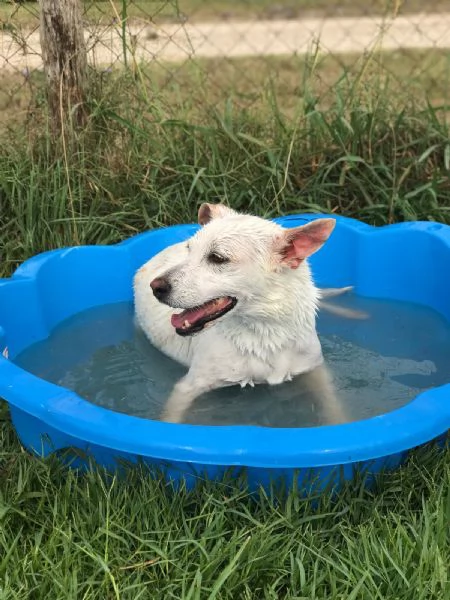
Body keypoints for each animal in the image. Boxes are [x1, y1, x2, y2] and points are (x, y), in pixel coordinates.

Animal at [132, 204, 356, 424]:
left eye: (217, 258)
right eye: (189, 249)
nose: (155, 287)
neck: (265, 335)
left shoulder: (315, 370)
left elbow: (334, 406)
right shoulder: (187, 387)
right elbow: (170, 419)